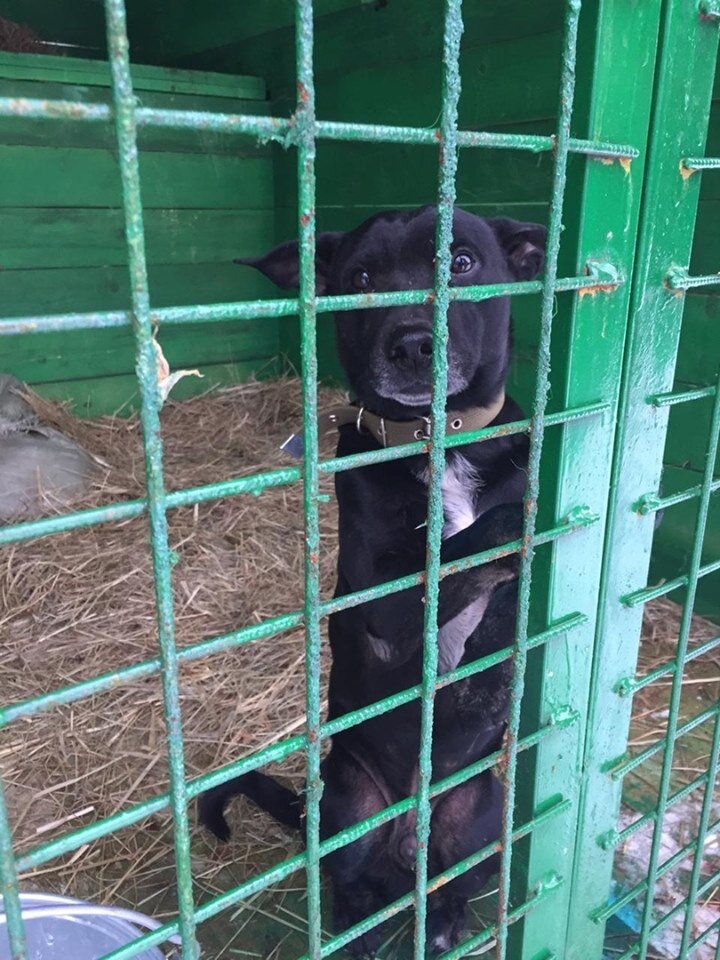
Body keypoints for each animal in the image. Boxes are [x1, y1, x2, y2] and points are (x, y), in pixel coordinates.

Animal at [200, 206, 544, 956]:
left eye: (463, 262)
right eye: (359, 279)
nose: (413, 344)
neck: (438, 438)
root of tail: (405, 848)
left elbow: (499, 602)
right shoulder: (382, 602)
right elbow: (462, 547)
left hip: (479, 818)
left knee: (451, 885)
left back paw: (442, 925)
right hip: (348, 805)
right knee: (351, 888)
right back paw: (358, 934)